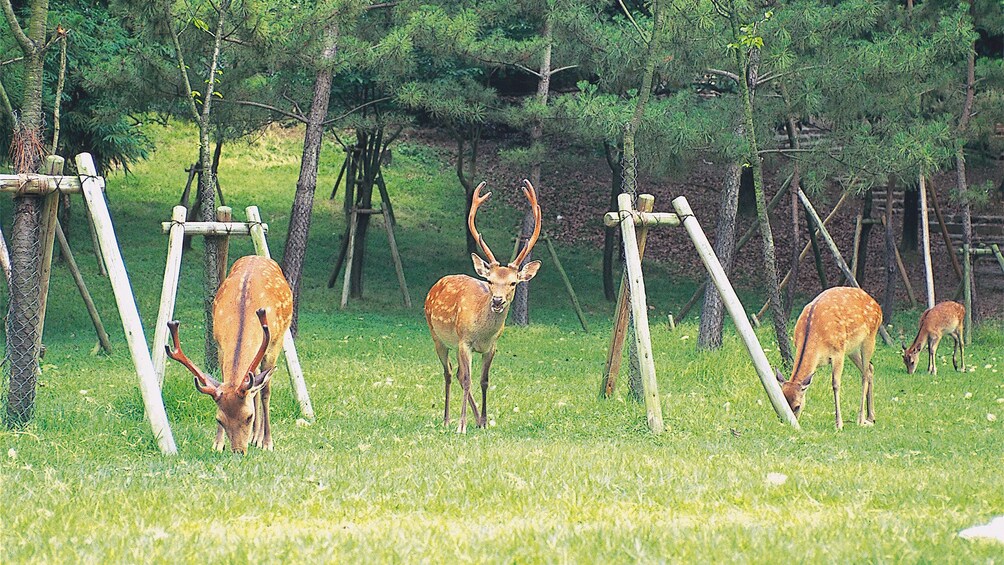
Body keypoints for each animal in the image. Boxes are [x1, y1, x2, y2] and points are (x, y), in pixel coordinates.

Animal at [166, 256, 293, 455]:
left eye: (249, 416)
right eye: (219, 419)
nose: (238, 451)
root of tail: (256, 256)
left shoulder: (274, 344)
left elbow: (265, 392)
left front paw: (268, 442)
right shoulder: (220, 346)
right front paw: (218, 443)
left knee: (261, 387)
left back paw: (259, 438)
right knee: (254, 383)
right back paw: (254, 437)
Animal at [423, 180, 542, 433]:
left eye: (513, 282)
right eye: (489, 281)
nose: (497, 300)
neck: (482, 333)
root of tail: (436, 284)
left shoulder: (492, 347)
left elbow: (484, 381)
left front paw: (485, 421)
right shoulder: (464, 342)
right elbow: (468, 380)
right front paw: (462, 426)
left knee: (457, 373)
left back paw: (475, 419)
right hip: (437, 336)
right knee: (450, 373)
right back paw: (447, 419)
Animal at [771, 287, 883, 429]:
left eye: (797, 406)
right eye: (781, 404)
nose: (788, 424)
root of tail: (877, 305)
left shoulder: (838, 352)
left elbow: (835, 384)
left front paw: (839, 424)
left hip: (870, 338)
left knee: (864, 374)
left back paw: (861, 419)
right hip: (851, 349)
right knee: (870, 368)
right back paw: (871, 417)